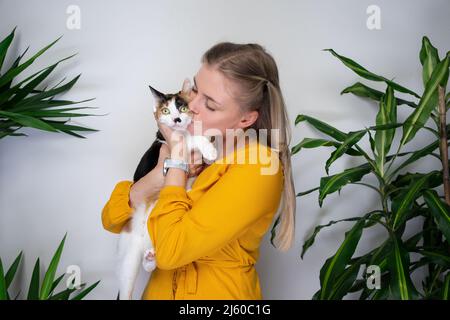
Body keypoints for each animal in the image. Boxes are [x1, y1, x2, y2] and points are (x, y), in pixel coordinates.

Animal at [117, 78, 217, 300]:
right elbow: (191, 139)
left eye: (183, 108)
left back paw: (150, 258)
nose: (177, 119)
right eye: (165, 110)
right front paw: (209, 149)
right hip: (128, 256)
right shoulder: (170, 143)